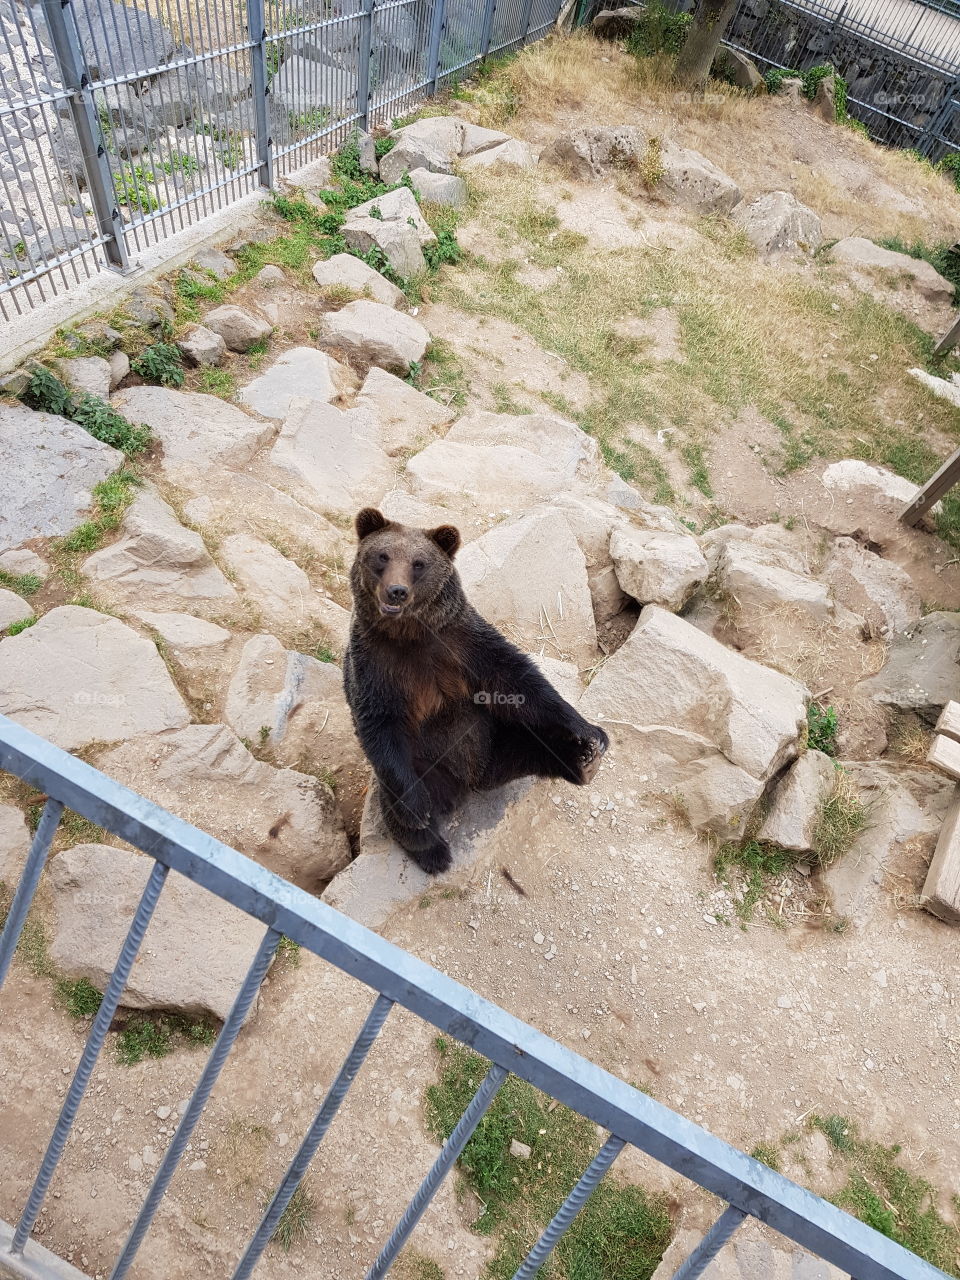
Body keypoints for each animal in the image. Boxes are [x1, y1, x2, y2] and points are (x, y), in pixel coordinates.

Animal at [343, 507, 609, 875]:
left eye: (419, 563)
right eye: (382, 556)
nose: (396, 591)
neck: (409, 634)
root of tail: (475, 779)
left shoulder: (463, 642)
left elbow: (518, 681)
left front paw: (590, 731)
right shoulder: (374, 665)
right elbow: (379, 724)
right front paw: (417, 813)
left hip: (495, 735)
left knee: (534, 741)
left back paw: (582, 760)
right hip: (428, 764)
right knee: (399, 801)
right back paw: (433, 851)